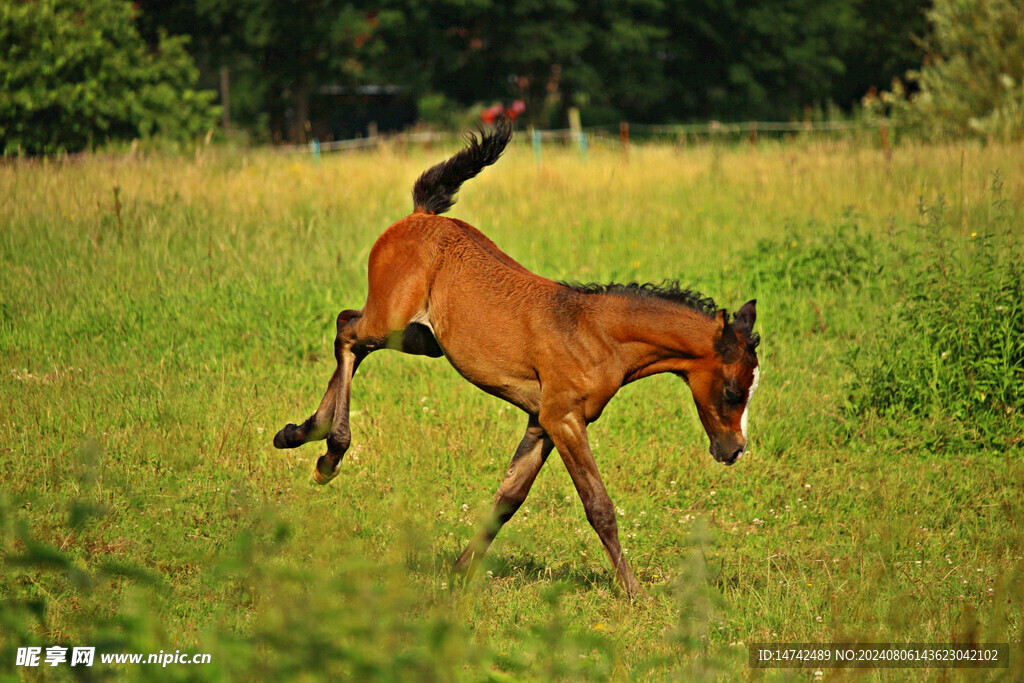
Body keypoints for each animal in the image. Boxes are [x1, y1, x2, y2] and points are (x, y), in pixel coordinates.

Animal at [273, 119, 760, 598]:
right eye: (733, 390)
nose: (734, 450)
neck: (595, 333)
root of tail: (420, 216)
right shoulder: (564, 418)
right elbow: (598, 505)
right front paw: (634, 593)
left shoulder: (540, 421)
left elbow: (507, 500)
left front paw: (458, 575)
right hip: (389, 320)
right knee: (347, 331)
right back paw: (330, 453)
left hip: (421, 339)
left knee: (351, 335)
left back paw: (300, 434)